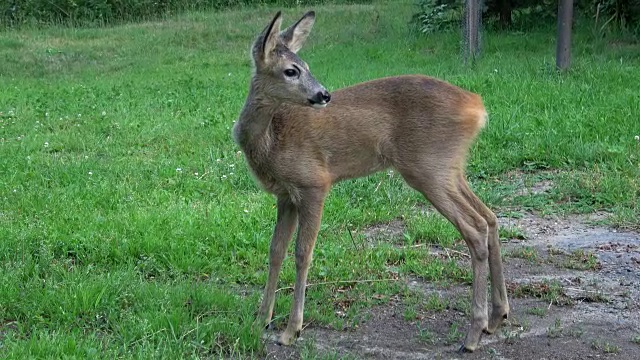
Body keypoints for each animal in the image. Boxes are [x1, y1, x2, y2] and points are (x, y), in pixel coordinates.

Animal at [232, 10, 512, 352]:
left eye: (305, 67)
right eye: (291, 70)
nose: (324, 94)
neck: (271, 137)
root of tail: (477, 107)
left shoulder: (314, 182)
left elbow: (302, 253)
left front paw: (291, 330)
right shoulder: (285, 194)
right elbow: (275, 251)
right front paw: (261, 320)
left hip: (428, 168)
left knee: (475, 227)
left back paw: (472, 334)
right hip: (450, 168)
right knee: (490, 217)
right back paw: (496, 318)